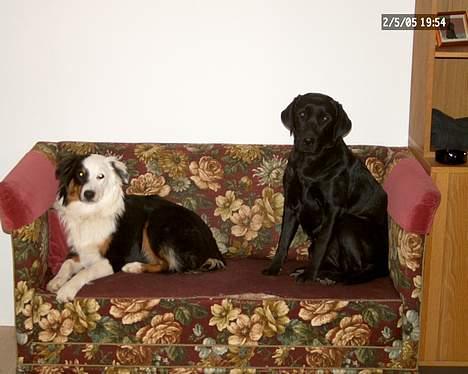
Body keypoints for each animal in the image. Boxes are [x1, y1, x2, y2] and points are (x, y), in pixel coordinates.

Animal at [47, 153, 225, 302]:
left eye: (101, 176)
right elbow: (66, 264)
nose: (89, 194)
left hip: (156, 222)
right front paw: (56, 280)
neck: (91, 213)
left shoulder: (113, 259)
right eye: (81, 174)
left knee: (173, 266)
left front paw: (66, 289)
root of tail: (213, 244)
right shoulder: (81, 252)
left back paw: (134, 267)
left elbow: (85, 271)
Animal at [264, 93, 388, 284]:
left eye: (325, 118)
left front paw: (309, 276)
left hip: (347, 223)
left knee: (357, 268)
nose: (308, 140)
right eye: (301, 114)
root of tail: (384, 265)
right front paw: (274, 268)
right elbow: (283, 241)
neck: (309, 163)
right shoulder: (291, 205)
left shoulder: (332, 209)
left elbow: (322, 244)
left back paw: (324, 276)